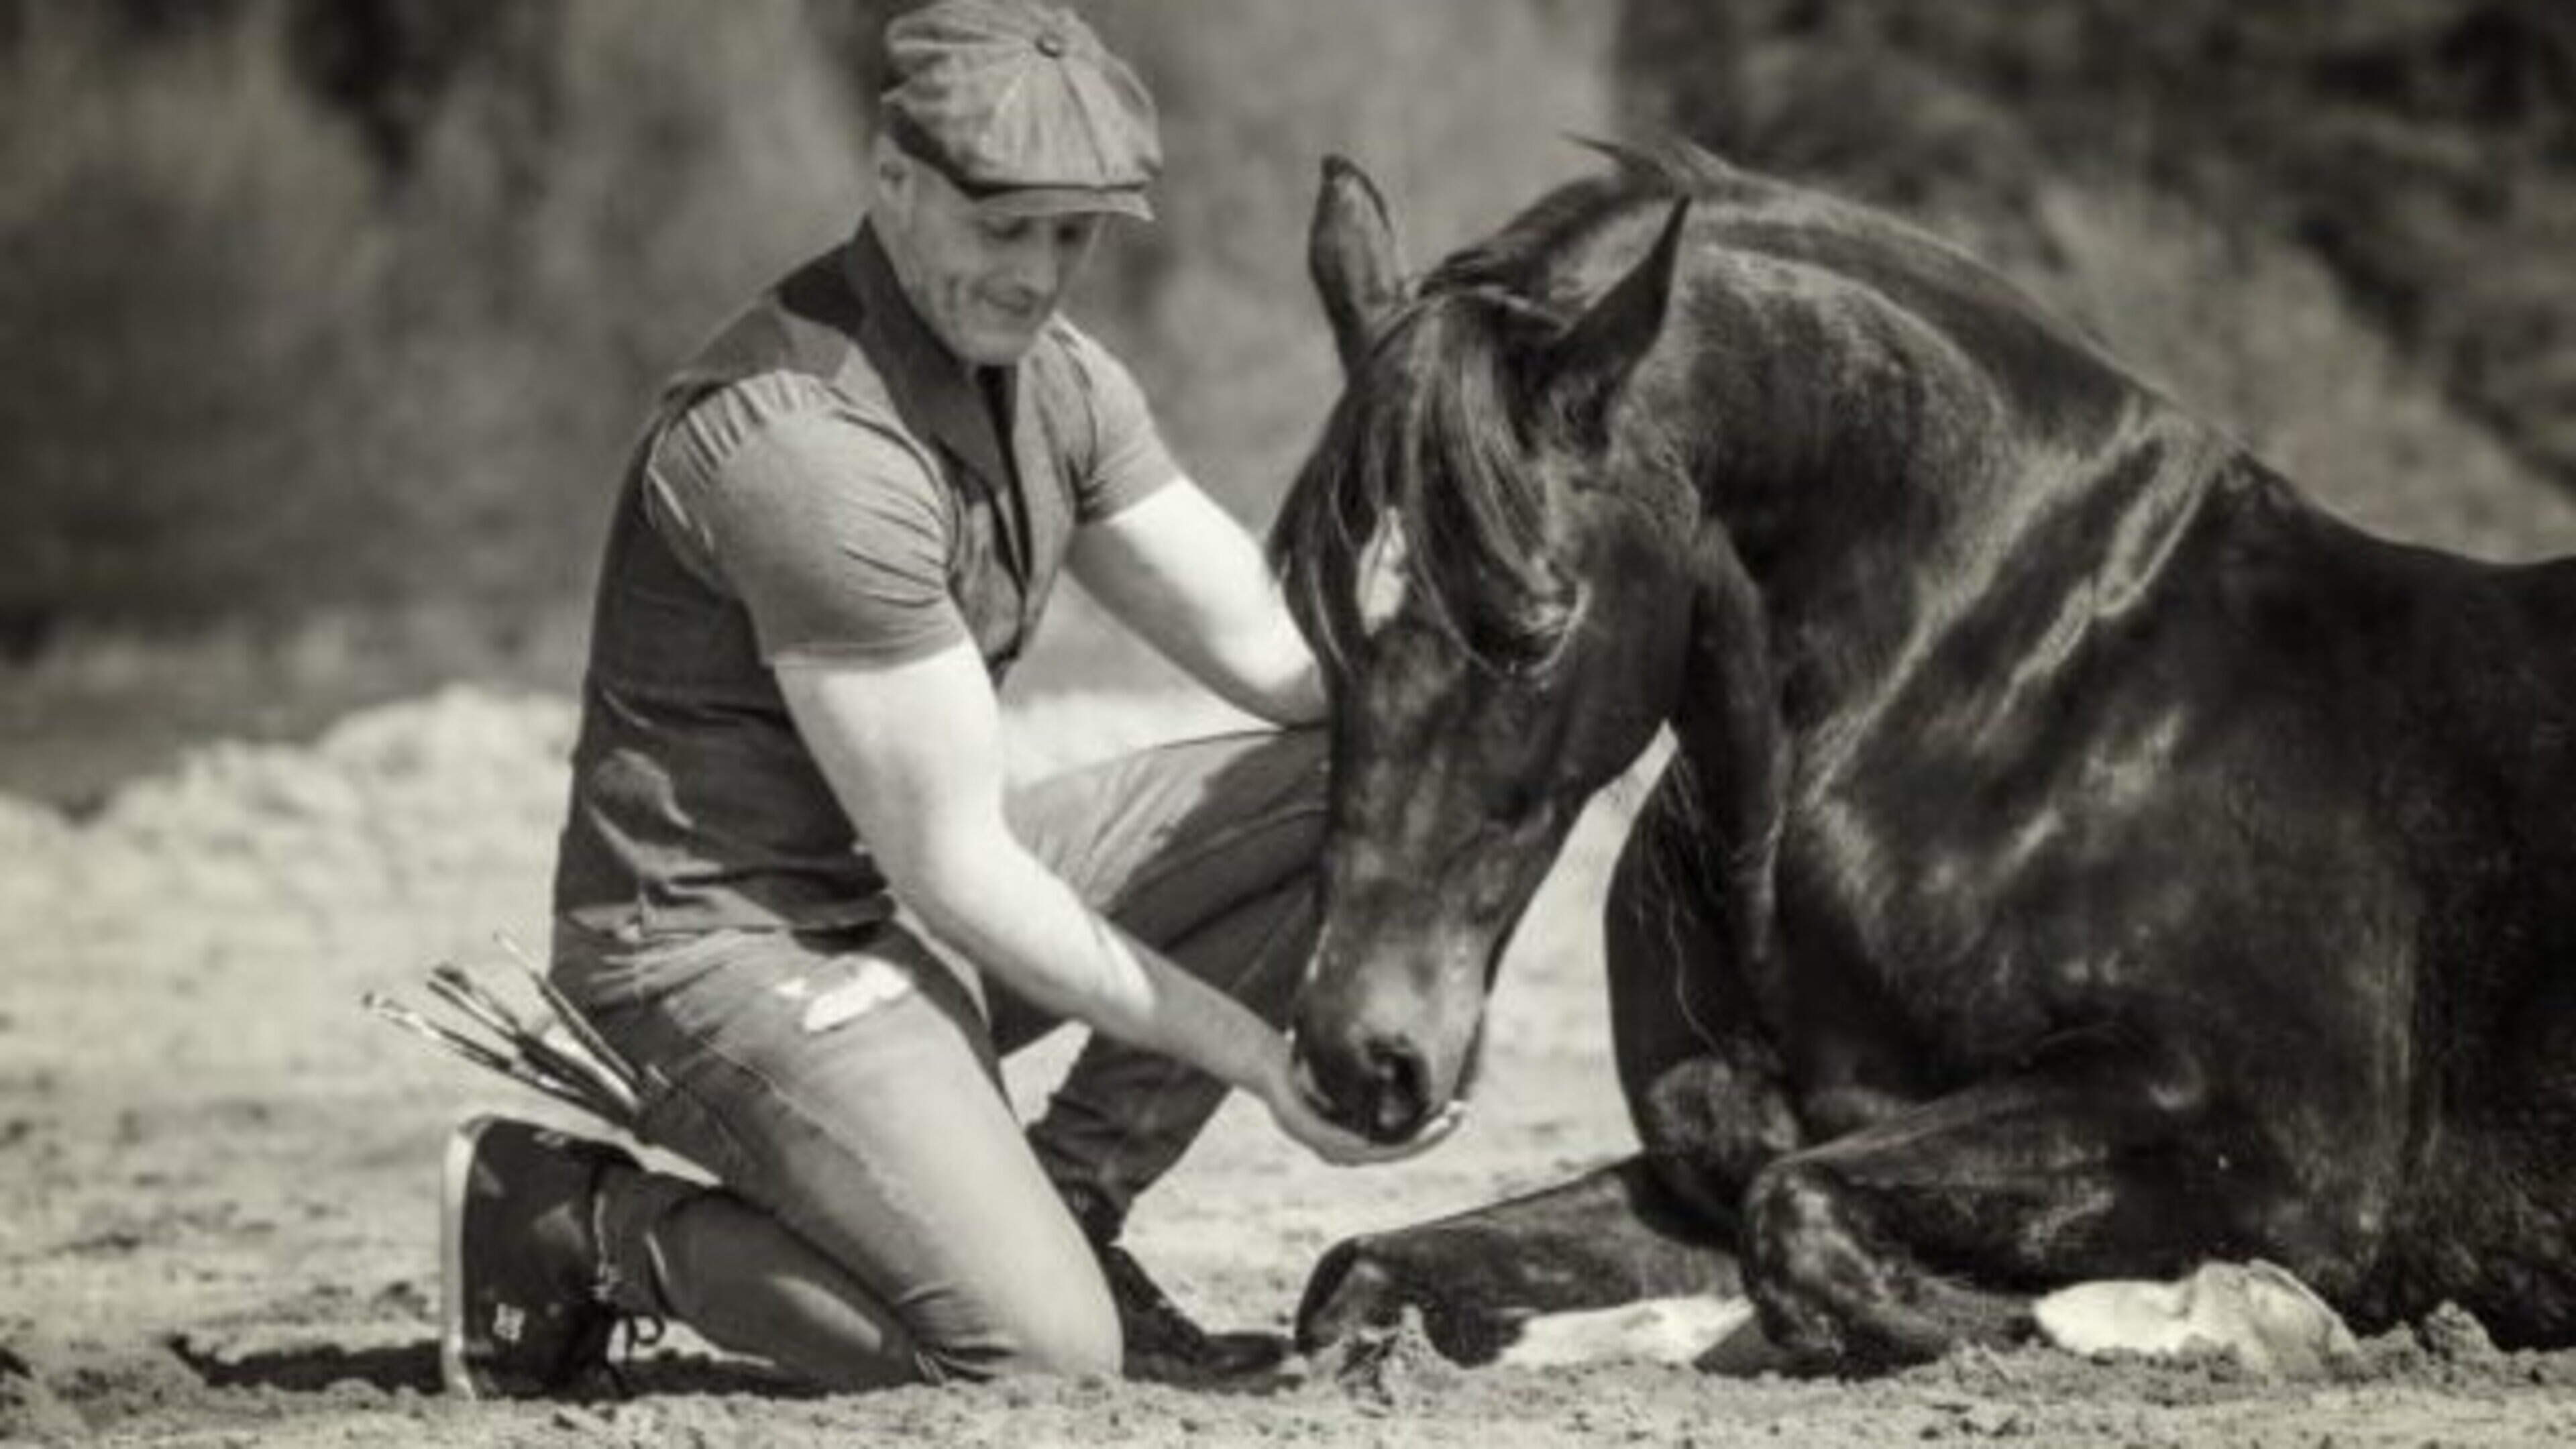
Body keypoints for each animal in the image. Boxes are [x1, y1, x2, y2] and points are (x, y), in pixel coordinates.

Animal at [1273, 141, 2576, 1373]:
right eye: (1308, 606)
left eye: (1538, 624)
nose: (1358, 1053)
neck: (2025, 717)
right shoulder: (1705, 1172)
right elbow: (1359, 1274)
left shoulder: (2270, 1151)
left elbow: (1805, 1236)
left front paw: (2245, 1314)